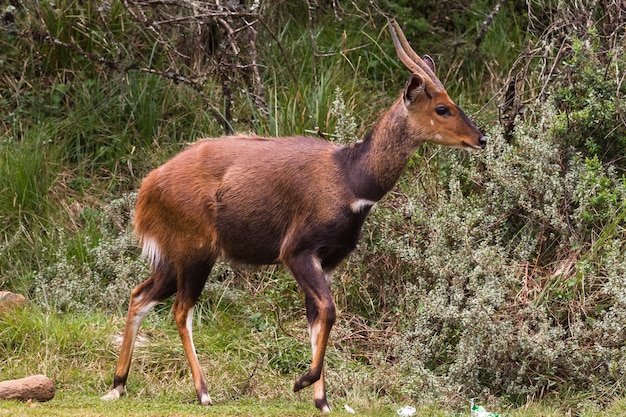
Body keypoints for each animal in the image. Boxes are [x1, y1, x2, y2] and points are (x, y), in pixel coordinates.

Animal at [101, 20, 482, 410]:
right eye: (442, 108)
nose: (480, 138)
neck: (350, 178)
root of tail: (148, 188)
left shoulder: (327, 260)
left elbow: (317, 318)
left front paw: (323, 401)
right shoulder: (296, 250)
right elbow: (329, 311)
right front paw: (302, 382)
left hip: (173, 258)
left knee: (140, 295)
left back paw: (118, 383)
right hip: (196, 252)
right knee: (181, 310)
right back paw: (203, 392)